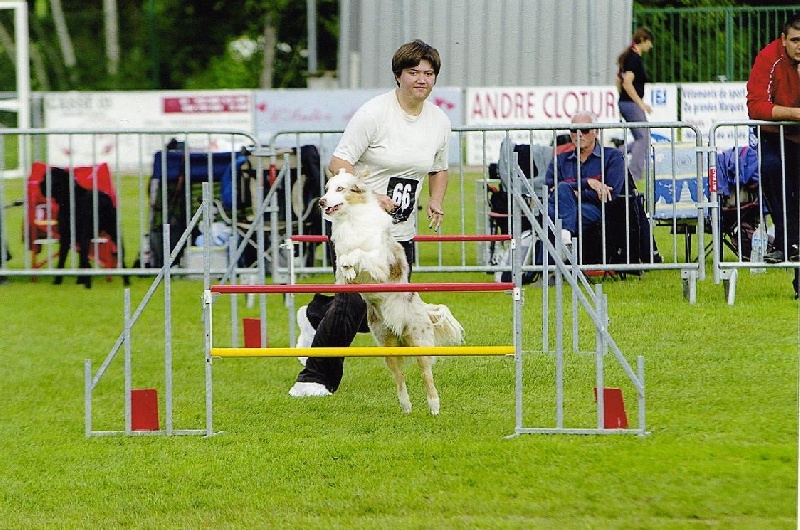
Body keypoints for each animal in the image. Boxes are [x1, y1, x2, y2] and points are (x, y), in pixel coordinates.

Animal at [316, 167, 460, 414]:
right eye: (326, 189)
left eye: (340, 188)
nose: (321, 201)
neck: (351, 219)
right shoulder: (341, 275)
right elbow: (345, 263)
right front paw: (348, 267)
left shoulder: (381, 265)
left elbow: (361, 253)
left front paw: (351, 261)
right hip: (387, 346)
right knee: (400, 379)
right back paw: (406, 407)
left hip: (419, 341)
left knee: (427, 376)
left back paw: (434, 408)